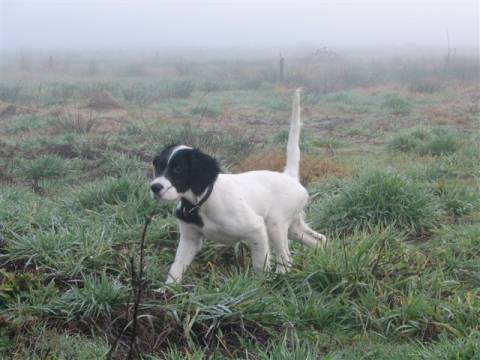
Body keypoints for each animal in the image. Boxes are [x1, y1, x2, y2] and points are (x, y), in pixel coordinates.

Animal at [152, 90, 328, 284]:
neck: (202, 202)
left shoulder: (257, 229)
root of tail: (289, 176)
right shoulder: (190, 240)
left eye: (178, 169)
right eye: (158, 167)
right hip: (293, 228)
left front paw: (259, 287)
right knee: (320, 240)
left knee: (286, 260)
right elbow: (175, 270)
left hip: (274, 224)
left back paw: (282, 277)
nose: (155, 187)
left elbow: (260, 267)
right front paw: (167, 290)